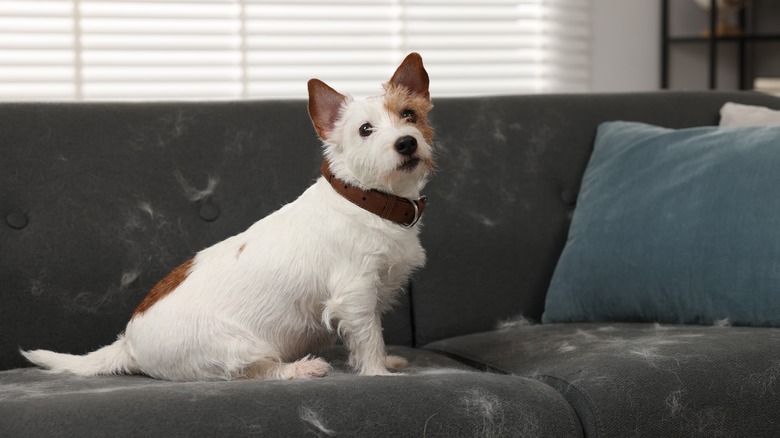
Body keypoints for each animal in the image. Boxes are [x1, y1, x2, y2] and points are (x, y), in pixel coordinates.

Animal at [19, 53, 432, 382]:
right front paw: (377, 372)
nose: (406, 142)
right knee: (252, 371)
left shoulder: (371, 294)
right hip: (237, 346)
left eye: (409, 115)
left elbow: (371, 335)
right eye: (365, 130)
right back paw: (301, 368)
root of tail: (128, 344)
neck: (369, 200)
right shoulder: (355, 294)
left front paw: (387, 362)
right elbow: (368, 337)